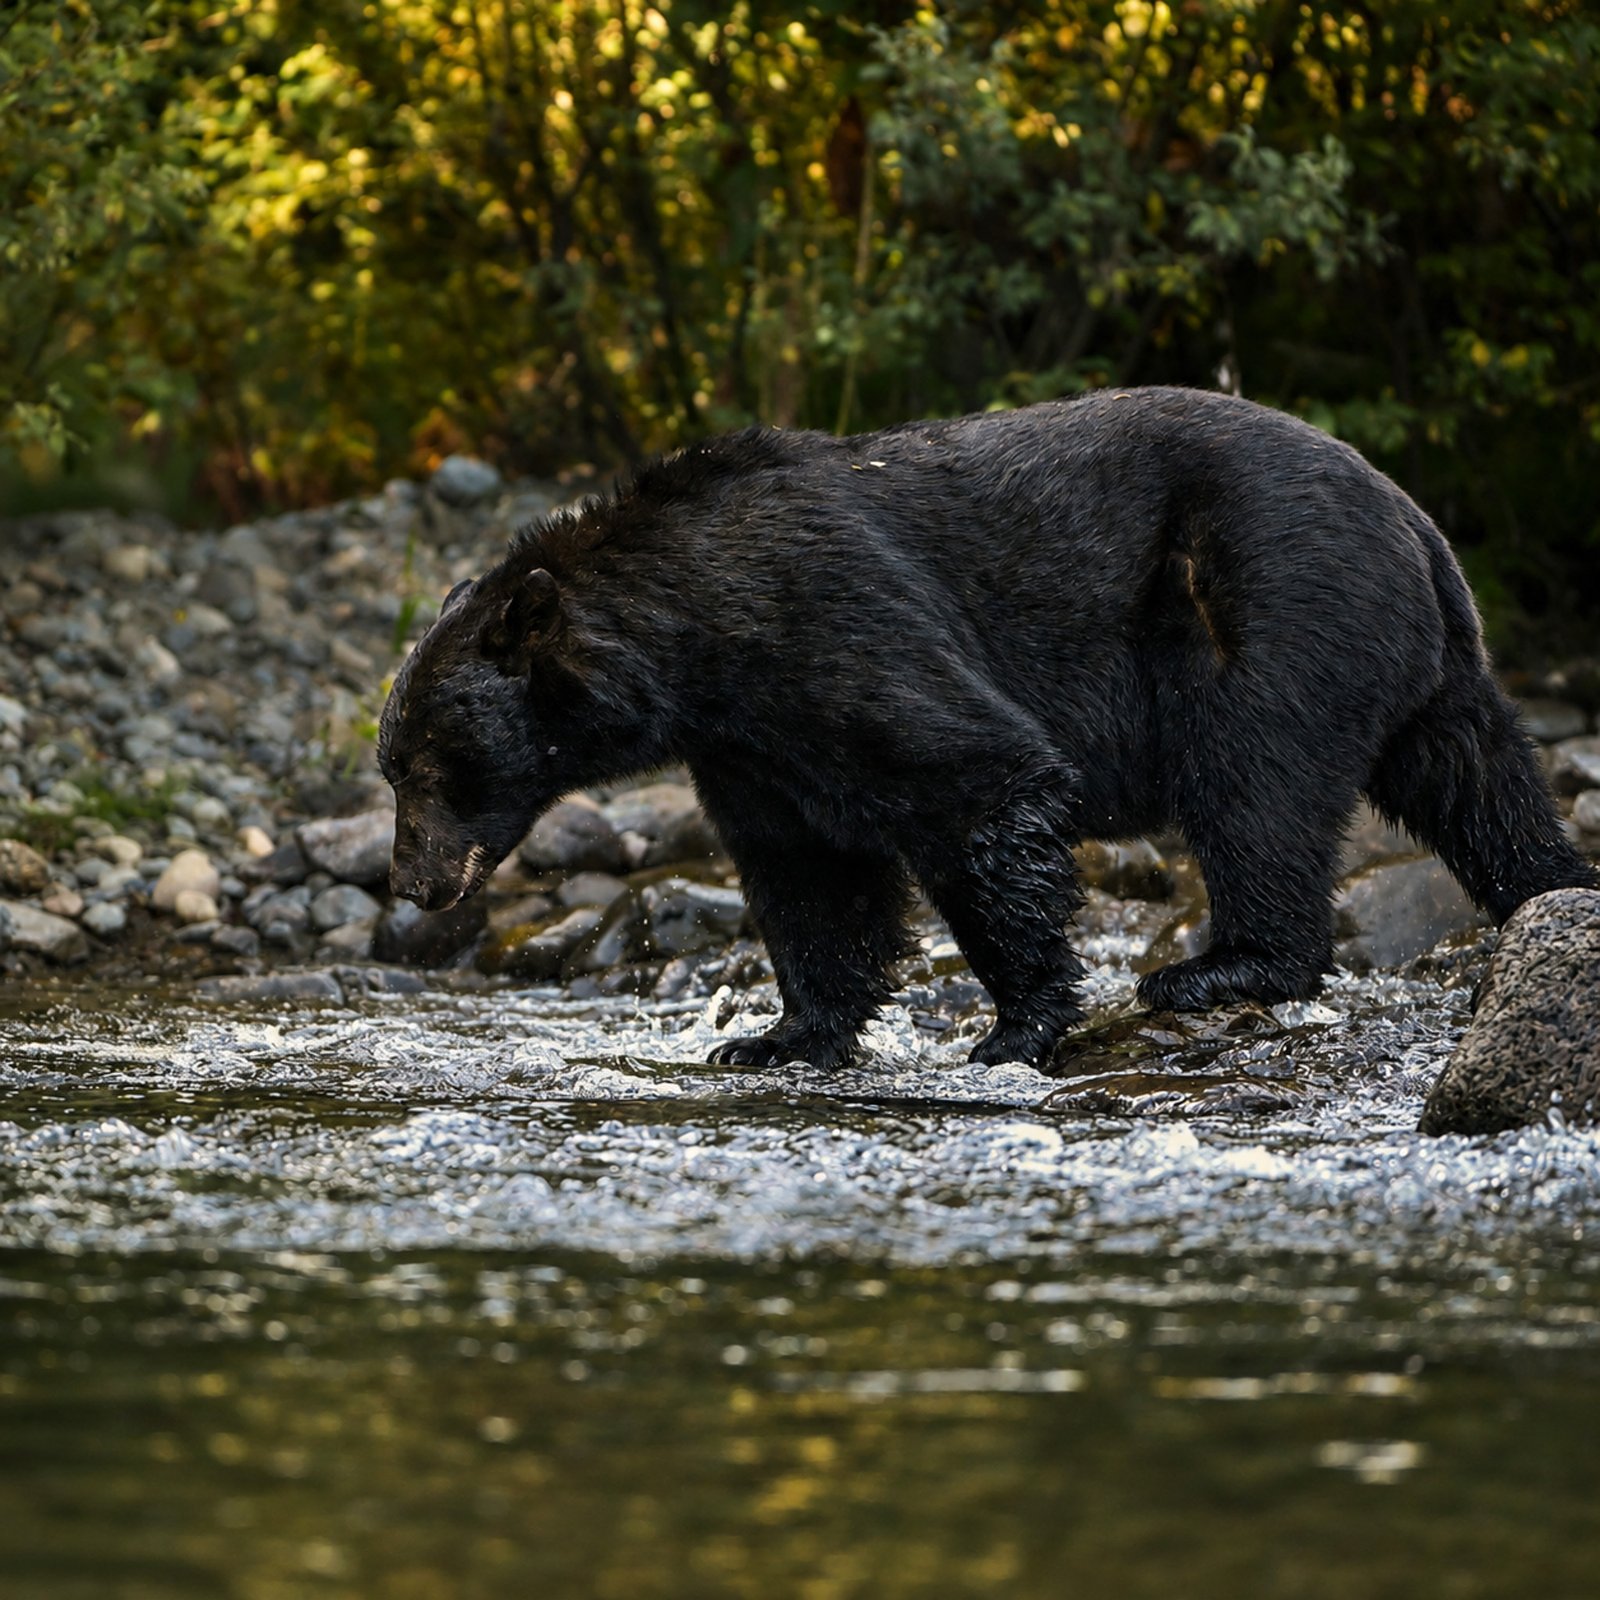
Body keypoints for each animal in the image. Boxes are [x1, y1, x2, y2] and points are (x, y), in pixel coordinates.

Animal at [377, 387, 1598, 1070]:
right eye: (391, 768)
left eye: (433, 765)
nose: (414, 885)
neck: (695, 637)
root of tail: (1416, 521)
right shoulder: (752, 738)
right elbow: (810, 874)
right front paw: (770, 1036)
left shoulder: (828, 622)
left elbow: (977, 781)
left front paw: (1016, 1023)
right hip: (1419, 662)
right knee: (1478, 780)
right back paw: (1547, 890)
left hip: (1269, 604)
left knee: (1255, 787)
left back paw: (1217, 969)